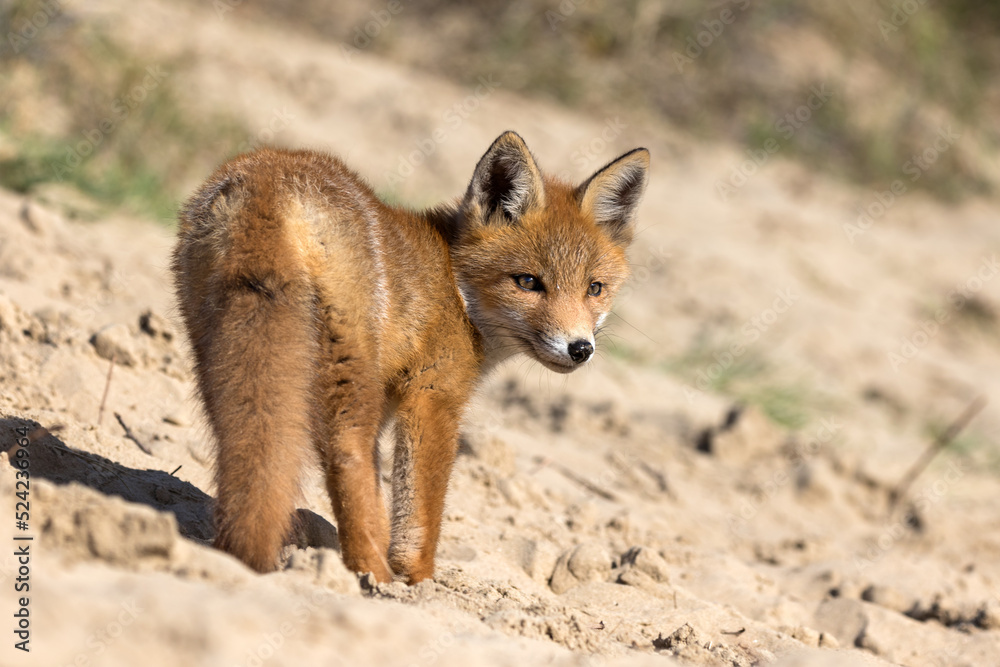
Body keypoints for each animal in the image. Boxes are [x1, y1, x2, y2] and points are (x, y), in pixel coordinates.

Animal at [171, 131, 649, 584]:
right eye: (528, 282)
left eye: (595, 288)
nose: (580, 348)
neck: (455, 287)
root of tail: (270, 176)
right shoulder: (433, 397)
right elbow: (420, 508)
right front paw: (416, 574)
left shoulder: (390, 400)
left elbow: (383, 496)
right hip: (349, 370)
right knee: (345, 454)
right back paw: (374, 576)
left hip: (222, 357)